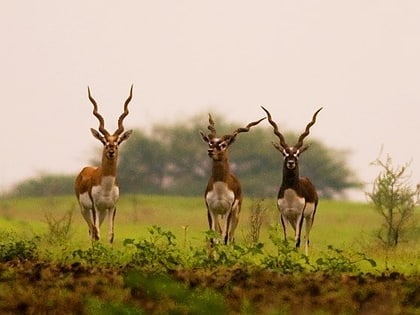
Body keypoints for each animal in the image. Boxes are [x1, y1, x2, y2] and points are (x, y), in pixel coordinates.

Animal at [75, 86, 133, 244]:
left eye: (118, 141)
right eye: (104, 141)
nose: (111, 151)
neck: (106, 187)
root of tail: (85, 170)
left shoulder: (112, 207)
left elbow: (110, 235)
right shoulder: (95, 206)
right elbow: (97, 234)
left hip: (101, 212)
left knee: (93, 230)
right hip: (85, 209)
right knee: (91, 230)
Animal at [199, 115, 264, 246]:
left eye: (223, 144)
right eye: (210, 143)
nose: (210, 151)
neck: (220, 188)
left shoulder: (228, 210)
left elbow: (225, 237)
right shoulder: (210, 210)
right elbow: (213, 238)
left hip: (236, 213)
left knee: (230, 235)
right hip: (218, 215)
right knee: (219, 233)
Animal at [260, 107, 324, 256]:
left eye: (297, 154)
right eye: (284, 153)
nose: (290, 162)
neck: (290, 196)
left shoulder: (300, 214)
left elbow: (297, 239)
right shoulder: (284, 215)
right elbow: (286, 239)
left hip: (309, 217)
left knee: (306, 238)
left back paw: (305, 256)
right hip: (293, 219)